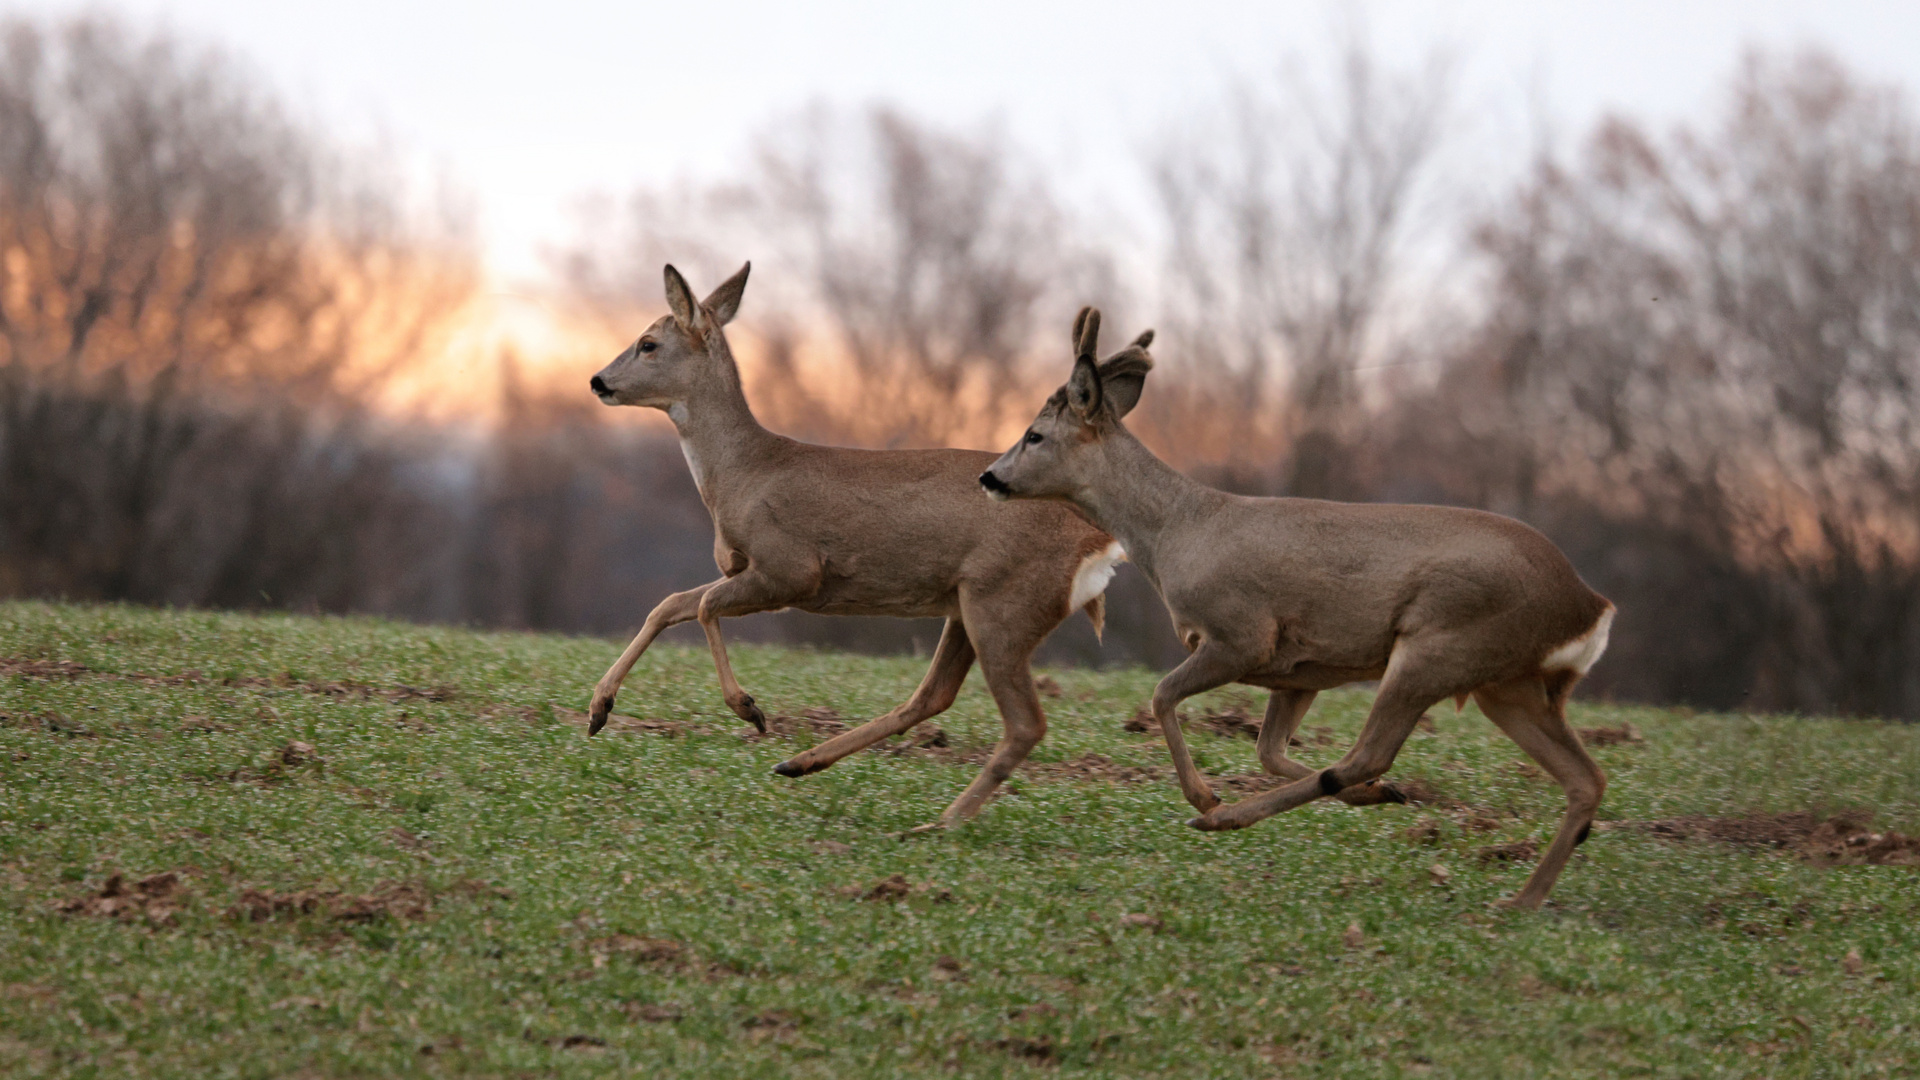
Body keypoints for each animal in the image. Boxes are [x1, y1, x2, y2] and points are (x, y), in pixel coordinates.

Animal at [983, 307, 1612, 903]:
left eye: (1034, 435)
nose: (990, 477)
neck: (1178, 532)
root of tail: (1590, 606)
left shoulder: (1242, 634)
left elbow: (1163, 695)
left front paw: (1204, 795)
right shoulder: (1300, 671)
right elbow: (1271, 752)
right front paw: (1375, 798)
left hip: (1438, 647)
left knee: (1368, 753)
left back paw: (1221, 819)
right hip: (1508, 683)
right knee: (1586, 779)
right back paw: (1520, 898)